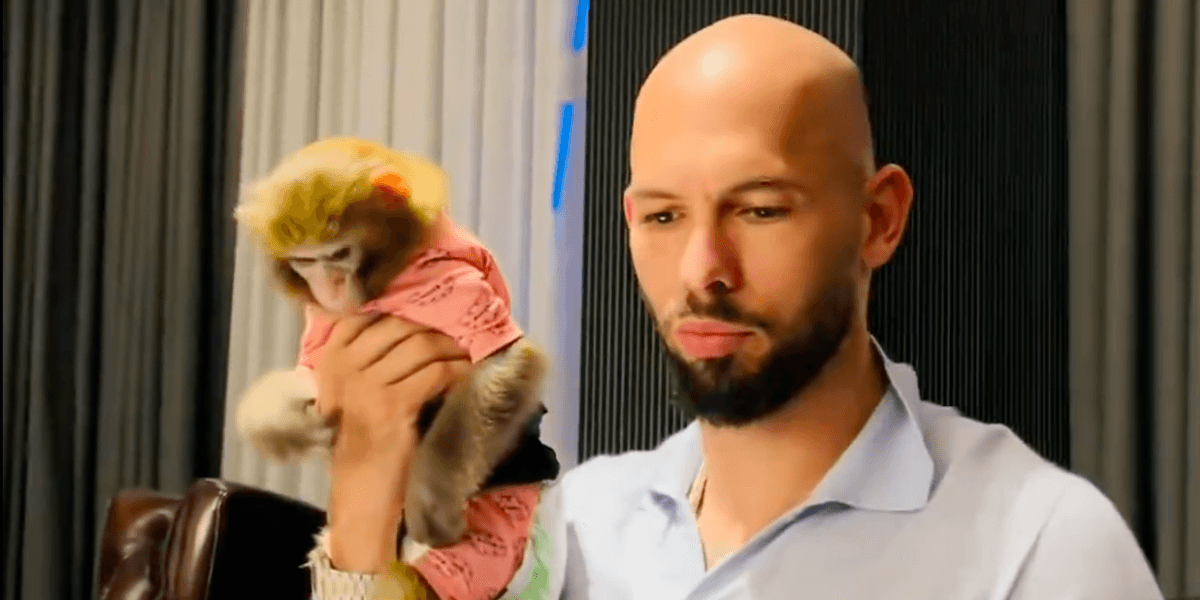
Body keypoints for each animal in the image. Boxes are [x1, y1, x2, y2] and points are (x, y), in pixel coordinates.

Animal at [232, 136, 558, 549]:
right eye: (304, 261)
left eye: (339, 253)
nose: (330, 288)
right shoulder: (322, 321)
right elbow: (309, 375)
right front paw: (285, 426)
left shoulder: (449, 278)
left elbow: (506, 357)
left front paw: (432, 506)